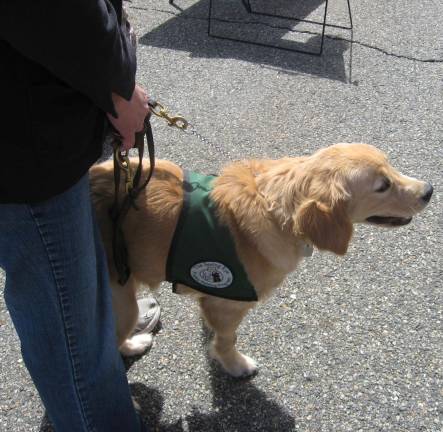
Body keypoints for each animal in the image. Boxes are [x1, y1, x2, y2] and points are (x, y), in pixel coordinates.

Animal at [90, 143, 434, 376]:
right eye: (382, 186)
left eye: (390, 166)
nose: (429, 190)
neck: (277, 209)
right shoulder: (227, 304)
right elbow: (227, 340)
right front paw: (234, 364)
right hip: (122, 302)